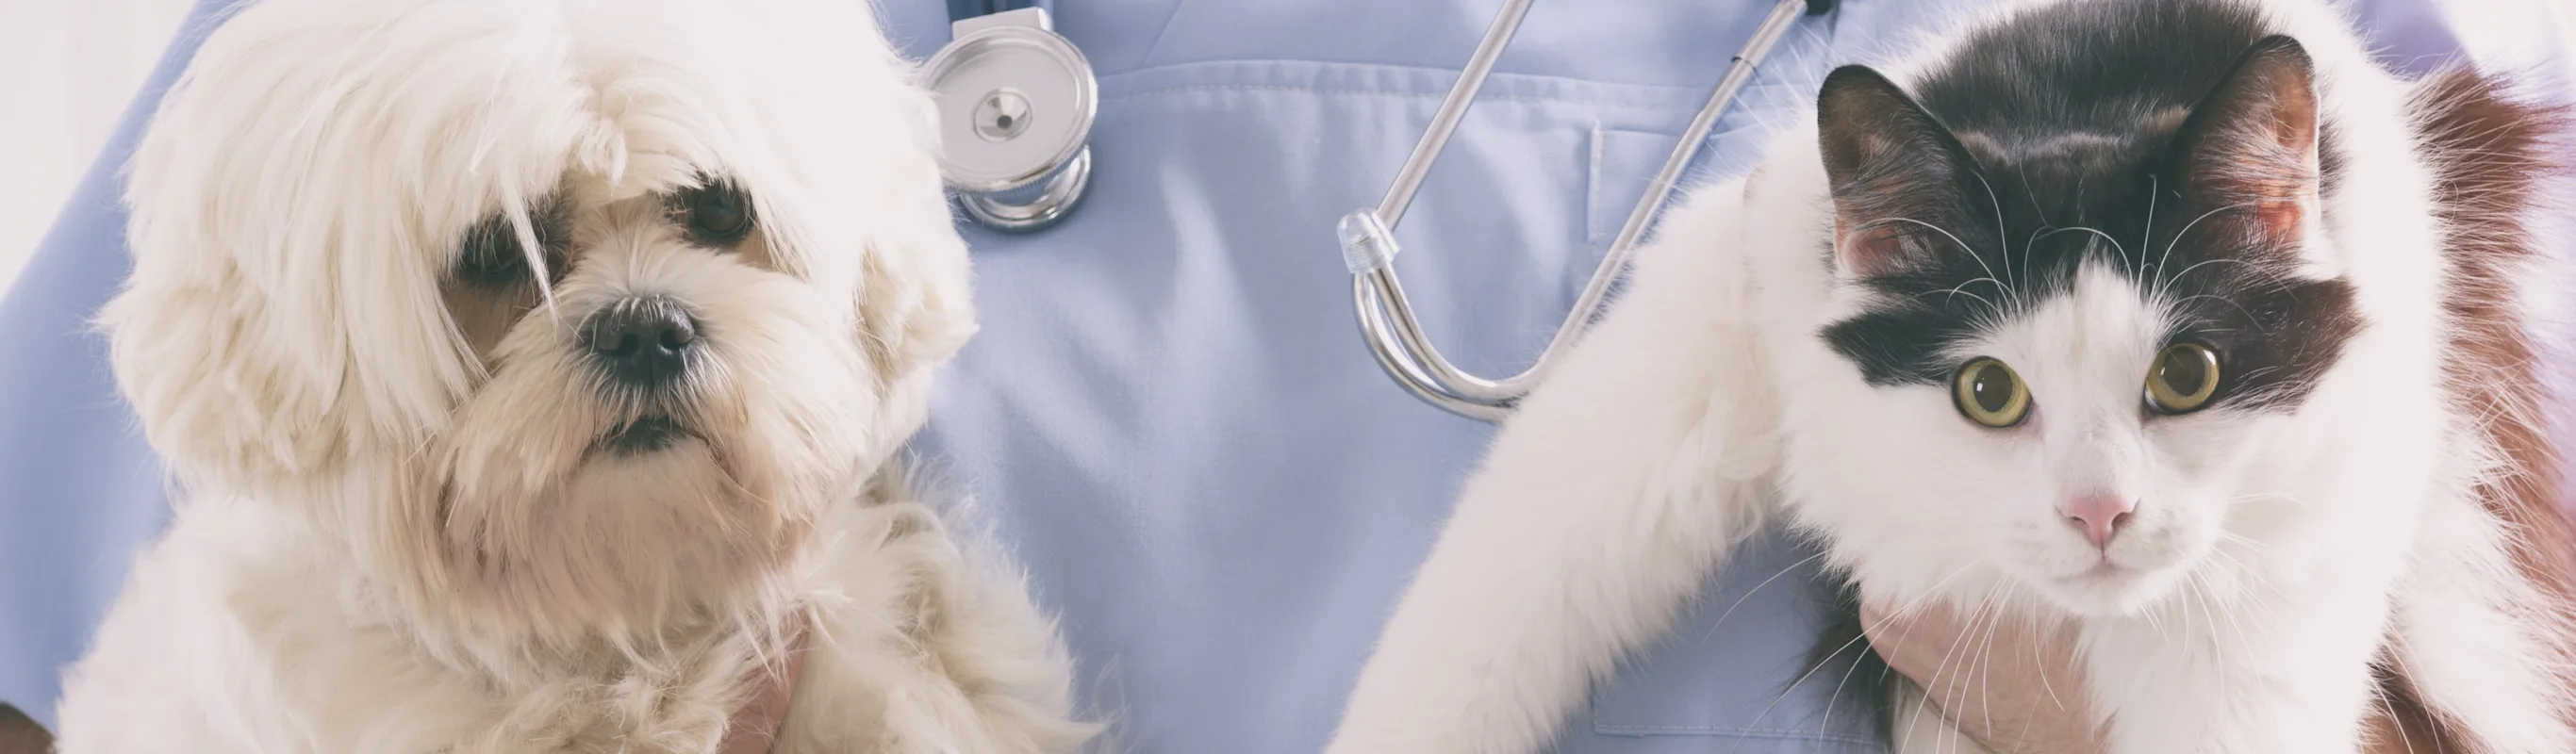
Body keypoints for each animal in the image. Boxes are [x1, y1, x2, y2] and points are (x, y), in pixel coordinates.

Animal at [1329, 0, 2576, 746]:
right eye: (1988, 391)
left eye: (2185, 374)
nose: (2097, 511)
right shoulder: (1731, 310)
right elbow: (1478, 615)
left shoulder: (2273, 603)